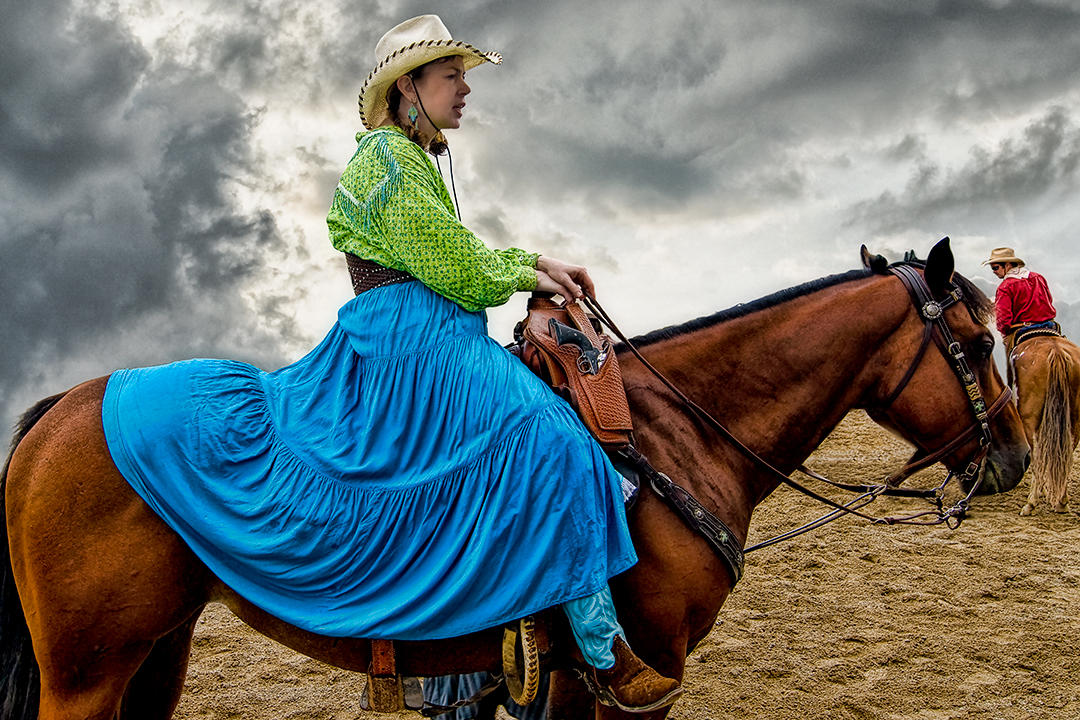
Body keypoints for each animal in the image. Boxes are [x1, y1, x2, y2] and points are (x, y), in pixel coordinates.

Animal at [0, 240, 1028, 720]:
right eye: (976, 342)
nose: (1014, 461)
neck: (678, 435)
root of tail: (60, 408)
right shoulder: (631, 677)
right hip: (86, 674)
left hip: (156, 653)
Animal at [1010, 334, 1080, 515]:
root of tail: (1056, 353)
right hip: (1074, 420)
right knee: (1066, 454)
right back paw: (1061, 501)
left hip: (1029, 419)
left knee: (1037, 456)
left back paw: (1031, 503)